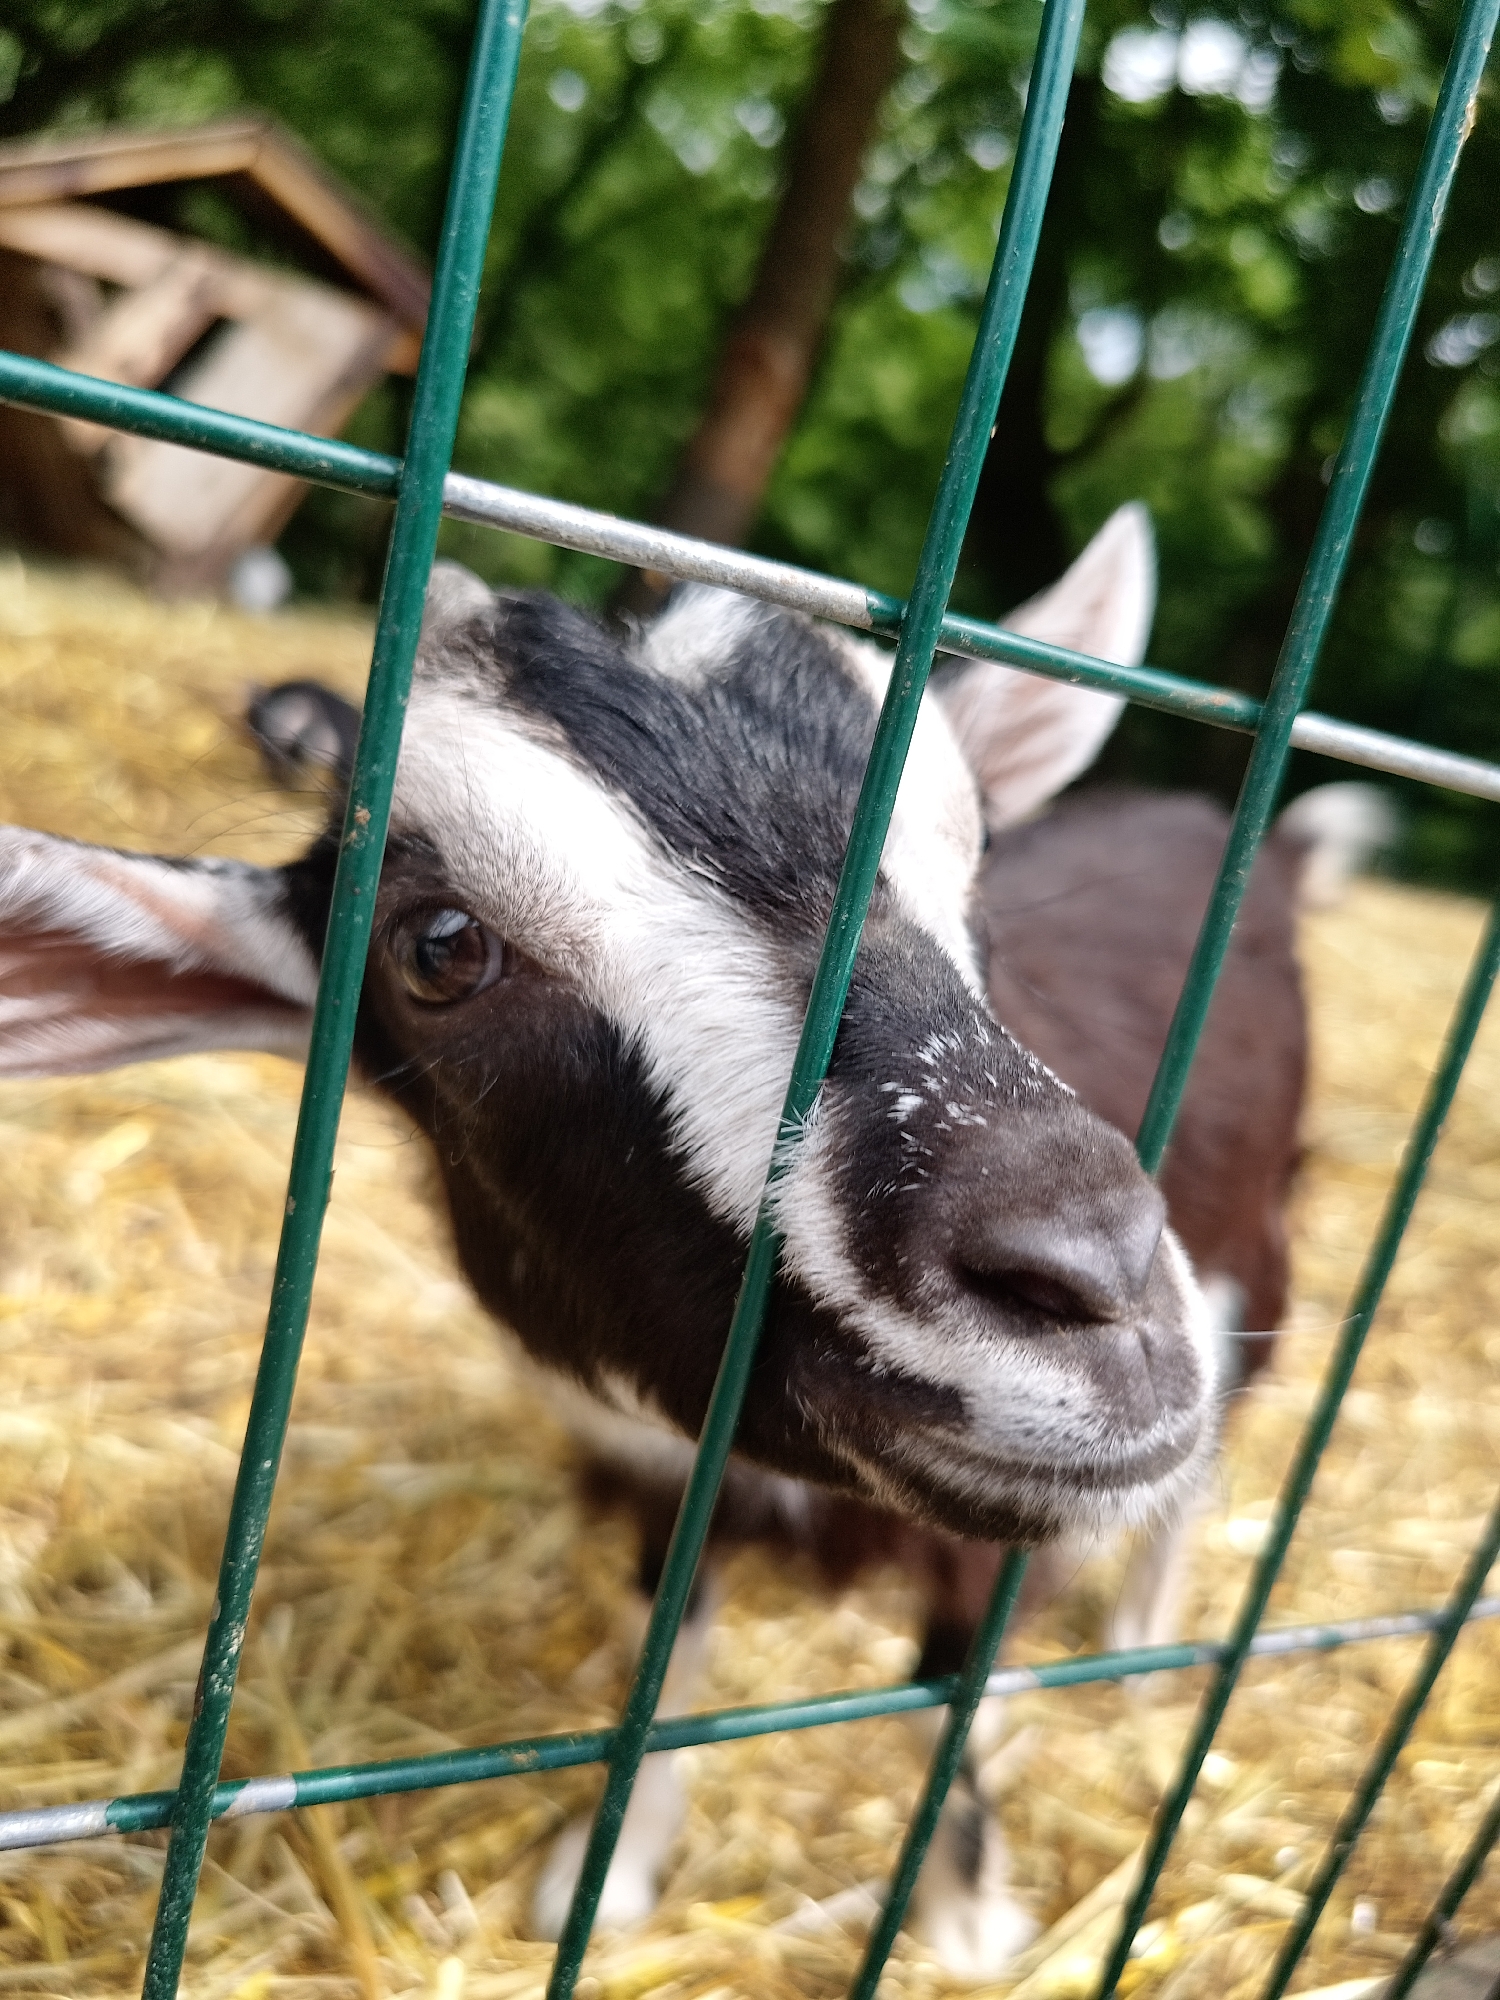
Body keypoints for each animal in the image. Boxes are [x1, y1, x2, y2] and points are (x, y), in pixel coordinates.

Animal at [0, 507, 1338, 1974]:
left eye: (975, 846)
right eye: (440, 947)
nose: (1092, 1271)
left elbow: (952, 1687)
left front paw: (966, 1923)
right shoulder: (654, 1463)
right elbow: (668, 1649)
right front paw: (609, 1868)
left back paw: (1149, 1639)